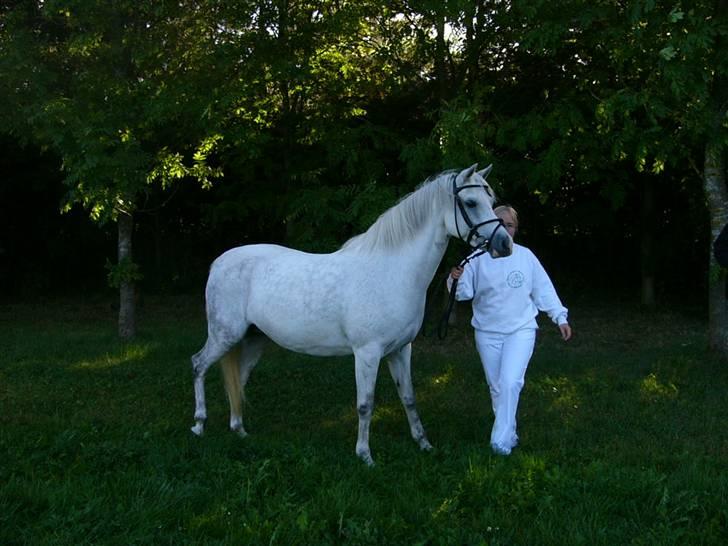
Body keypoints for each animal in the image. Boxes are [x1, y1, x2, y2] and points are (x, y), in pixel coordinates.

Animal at [191, 163, 513, 465]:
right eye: (470, 202)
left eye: (491, 199)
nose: (505, 244)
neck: (392, 271)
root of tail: (219, 262)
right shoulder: (367, 352)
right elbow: (365, 404)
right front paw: (365, 456)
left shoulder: (400, 350)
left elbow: (409, 398)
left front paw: (424, 444)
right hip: (224, 335)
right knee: (198, 365)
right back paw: (199, 425)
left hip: (253, 339)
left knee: (238, 380)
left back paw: (239, 430)